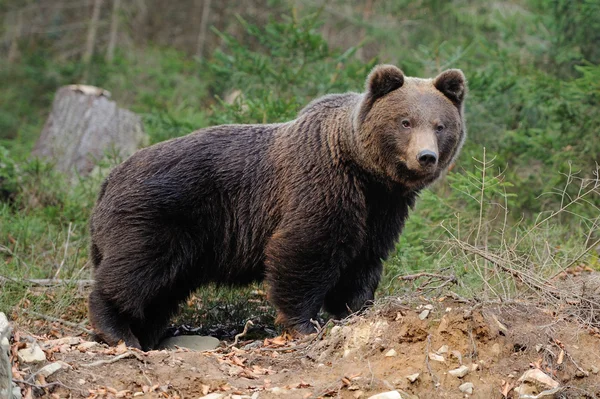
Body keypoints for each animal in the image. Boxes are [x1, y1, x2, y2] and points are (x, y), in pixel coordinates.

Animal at [88, 65, 468, 350]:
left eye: (440, 125)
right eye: (405, 121)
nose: (426, 157)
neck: (364, 170)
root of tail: (108, 180)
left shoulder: (382, 210)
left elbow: (364, 259)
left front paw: (356, 309)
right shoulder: (320, 184)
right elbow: (305, 248)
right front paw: (304, 324)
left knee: (163, 289)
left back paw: (145, 332)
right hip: (158, 213)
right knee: (137, 270)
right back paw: (117, 330)